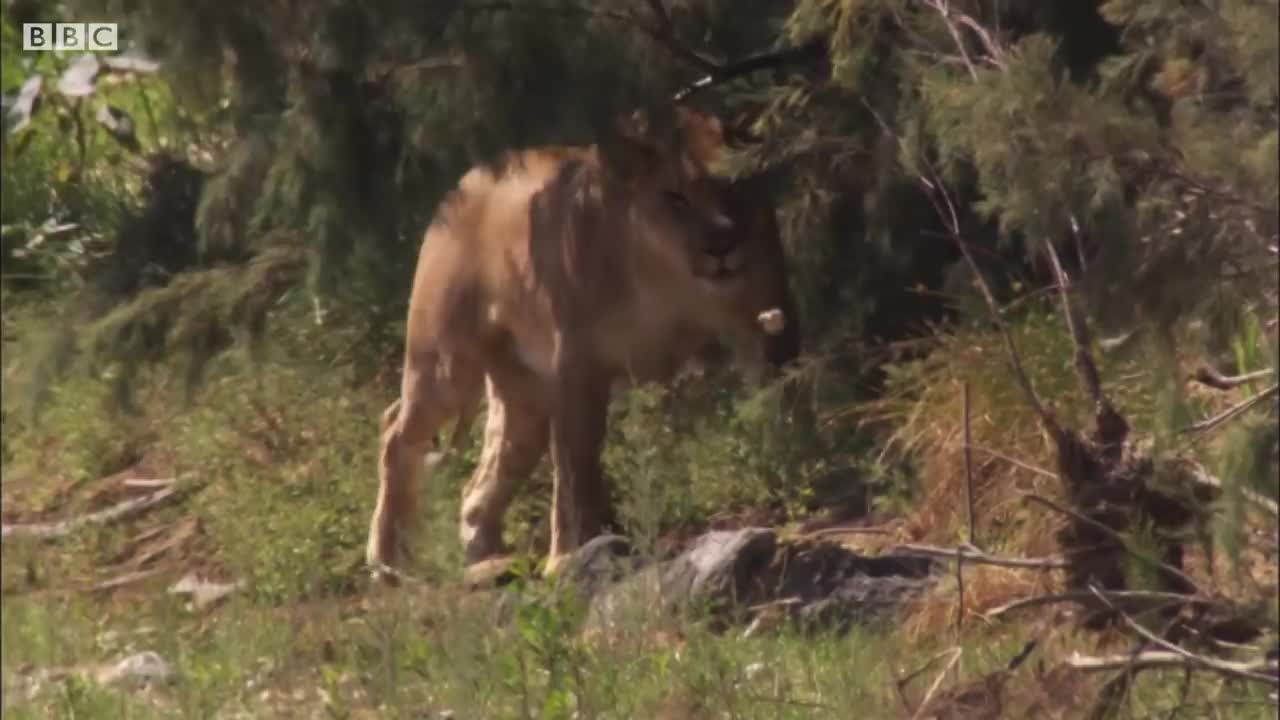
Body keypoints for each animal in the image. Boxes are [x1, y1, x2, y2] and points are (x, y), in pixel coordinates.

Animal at [363, 105, 798, 576]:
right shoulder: (578, 363)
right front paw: (568, 555)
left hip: (524, 396)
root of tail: (466, 180)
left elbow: (780, 404)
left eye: (734, 187)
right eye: (675, 197)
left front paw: (787, 476)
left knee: (483, 475)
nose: (721, 244)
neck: (670, 275)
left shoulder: (767, 324)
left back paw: (486, 553)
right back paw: (388, 560)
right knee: (395, 429)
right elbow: (576, 464)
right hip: (447, 359)